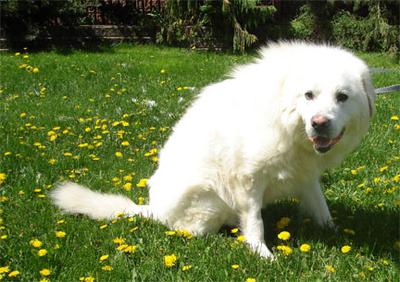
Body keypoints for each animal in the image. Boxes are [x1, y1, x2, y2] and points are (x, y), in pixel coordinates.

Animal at [52, 40, 376, 258]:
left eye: (342, 97)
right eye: (309, 95)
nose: (319, 123)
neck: (286, 116)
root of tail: (153, 209)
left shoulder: (306, 174)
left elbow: (321, 207)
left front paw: (335, 232)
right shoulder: (248, 178)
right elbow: (255, 221)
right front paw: (261, 254)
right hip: (208, 197)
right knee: (190, 230)